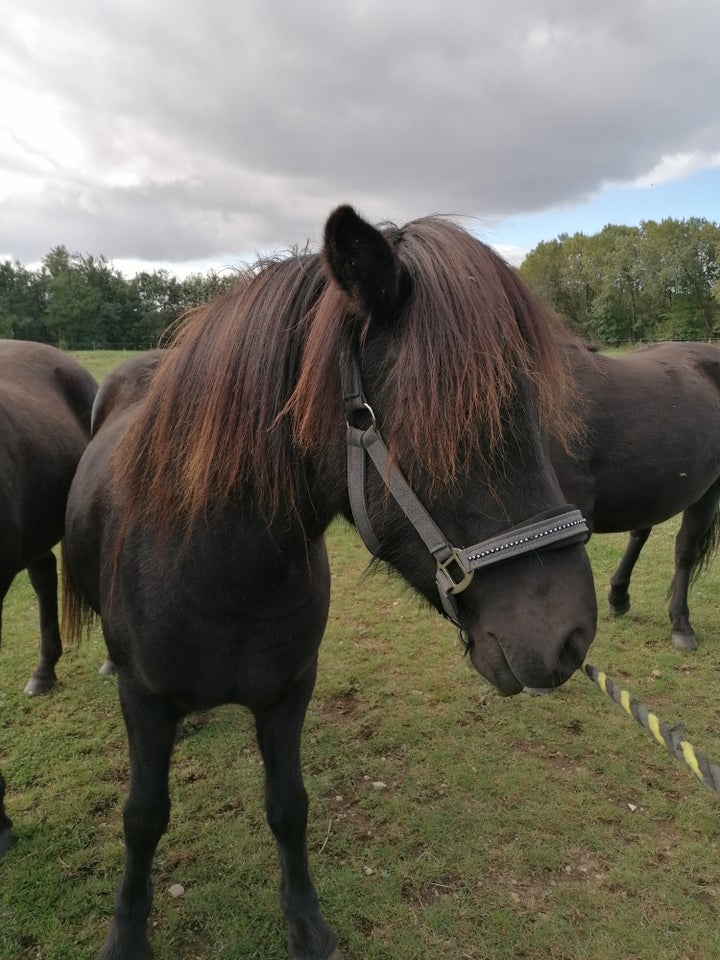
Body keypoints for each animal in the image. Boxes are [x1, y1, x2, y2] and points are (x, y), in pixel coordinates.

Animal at [62, 204, 600, 960]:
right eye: (451, 422)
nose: (571, 634)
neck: (221, 575)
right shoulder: (143, 700)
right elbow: (143, 817)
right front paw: (127, 934)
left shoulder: (291, 692)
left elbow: (290, 808)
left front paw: (307, 925)